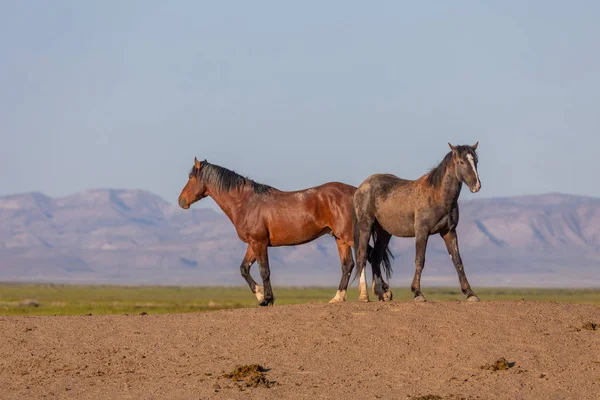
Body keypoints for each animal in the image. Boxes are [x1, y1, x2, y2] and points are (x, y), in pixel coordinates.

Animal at [178, 158, 394, 304]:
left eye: (191, 177)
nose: (181, 201)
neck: (246, 203)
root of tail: (356, 192)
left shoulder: (259, 243)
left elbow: (264, 271)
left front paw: (267, 299)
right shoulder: (253, 244)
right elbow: (244, 269)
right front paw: (259, 295)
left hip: (350, 236)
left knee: (365, 256)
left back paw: (371, 294)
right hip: (340, 238)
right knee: (349, 264)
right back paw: (341, 297)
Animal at [354, 142, 480, 302]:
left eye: (476, 161)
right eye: (461, 162)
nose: (477, 185)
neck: (438, 195)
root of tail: (361, 187)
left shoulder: (449, 232)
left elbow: (458, 261)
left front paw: (470, 293)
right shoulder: (422, 232)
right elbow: (420, 260)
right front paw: (417, 293)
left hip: (384, 232)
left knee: (375, 257)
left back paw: (382, 293)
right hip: (366, 226)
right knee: (362, 256)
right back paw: (364, 295)